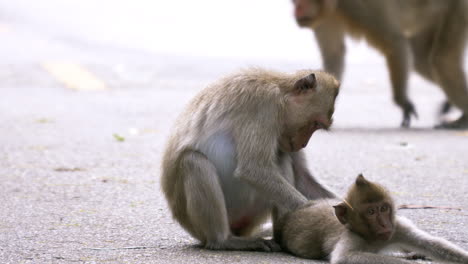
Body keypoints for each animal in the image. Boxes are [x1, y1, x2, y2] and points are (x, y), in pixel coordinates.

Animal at [161, 68, 340, 252]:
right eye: (316, 124)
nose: (303, 144)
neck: (281, 93)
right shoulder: (264, 107)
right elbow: (253, 169)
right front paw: (319, 214)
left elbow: (303, 179)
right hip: (200, 224)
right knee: (193, 161)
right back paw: (224, 240)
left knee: (281, 157)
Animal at [276, 174, 468, 262]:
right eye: (371, 213)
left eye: (383, 208)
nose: (383, 224)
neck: (374, 239)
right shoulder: (351, 236)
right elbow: (344, 257)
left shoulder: (397, 228)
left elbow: (430, 243)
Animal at [292, 0, 468, 129]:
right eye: (295, 2)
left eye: (301, 3)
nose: (295, 12)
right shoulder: (327, 17)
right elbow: (334, 53)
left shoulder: (359, 7)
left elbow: (395, 43)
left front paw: (402, 102)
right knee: (421, 58)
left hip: (458, 7)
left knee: (441, 60)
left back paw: (463, 119)